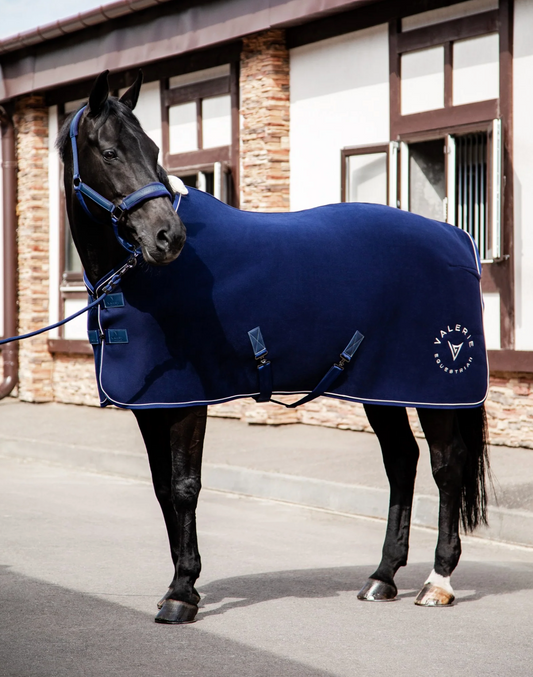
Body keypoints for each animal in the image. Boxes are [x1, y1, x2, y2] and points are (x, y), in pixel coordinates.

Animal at [57, 70, 490, 623]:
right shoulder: (153, 407)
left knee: (445, 464)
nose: (167, 237)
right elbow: (162, 489)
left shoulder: (189, 401)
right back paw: (383, 576)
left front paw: (182, 593)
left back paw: (438, 582)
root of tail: (456, 238)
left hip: (433, 390)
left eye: (152, 150)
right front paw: (177, 585)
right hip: (382, 389)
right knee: (402, 461)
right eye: (110, 152)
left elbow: (185, 487)